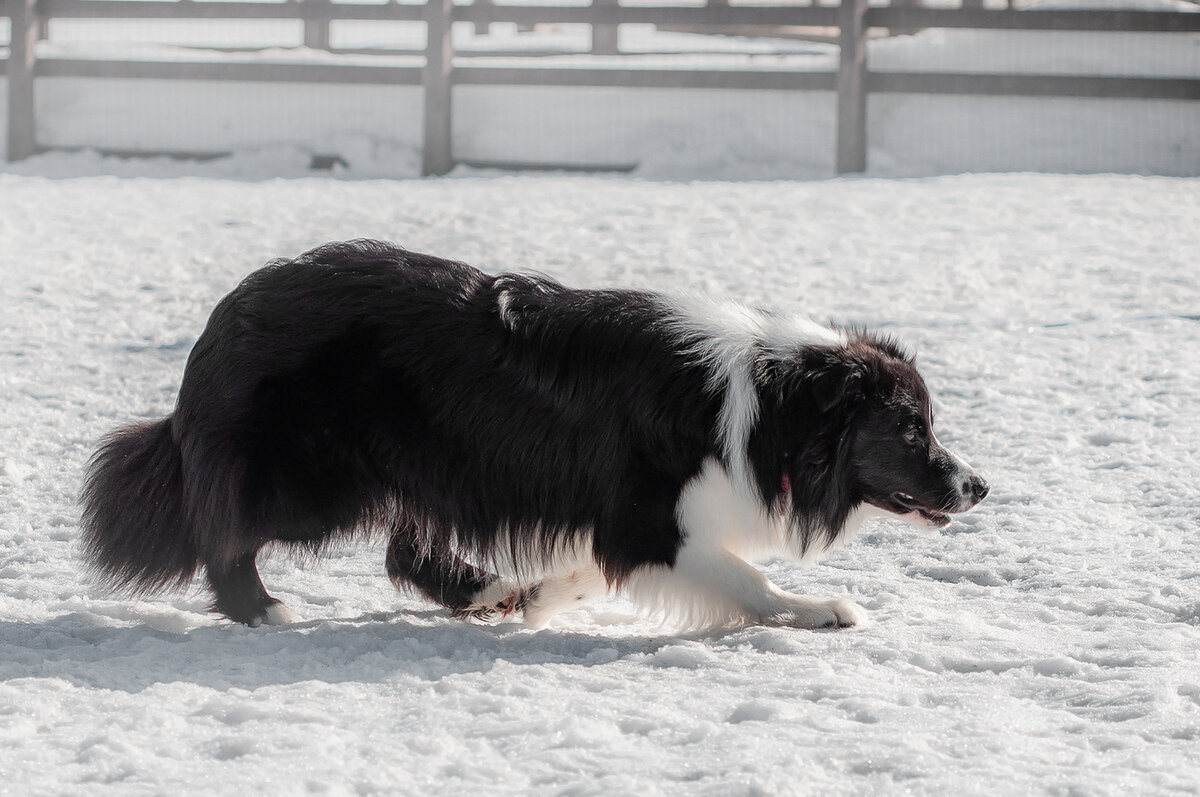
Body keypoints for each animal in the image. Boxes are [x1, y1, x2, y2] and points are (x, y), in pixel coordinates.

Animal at [79, 240, 988, 633]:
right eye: (911, 428)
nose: (978, 485)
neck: (772, 407)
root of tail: (225, 318)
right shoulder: (644, 517)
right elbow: (745, 577)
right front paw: (818, 609)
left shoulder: (617, 519)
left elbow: (587, 570)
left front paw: (535, 599)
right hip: (316, 476)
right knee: (222, 528)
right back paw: (259, 607)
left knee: (403, 551)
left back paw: (484, 591)